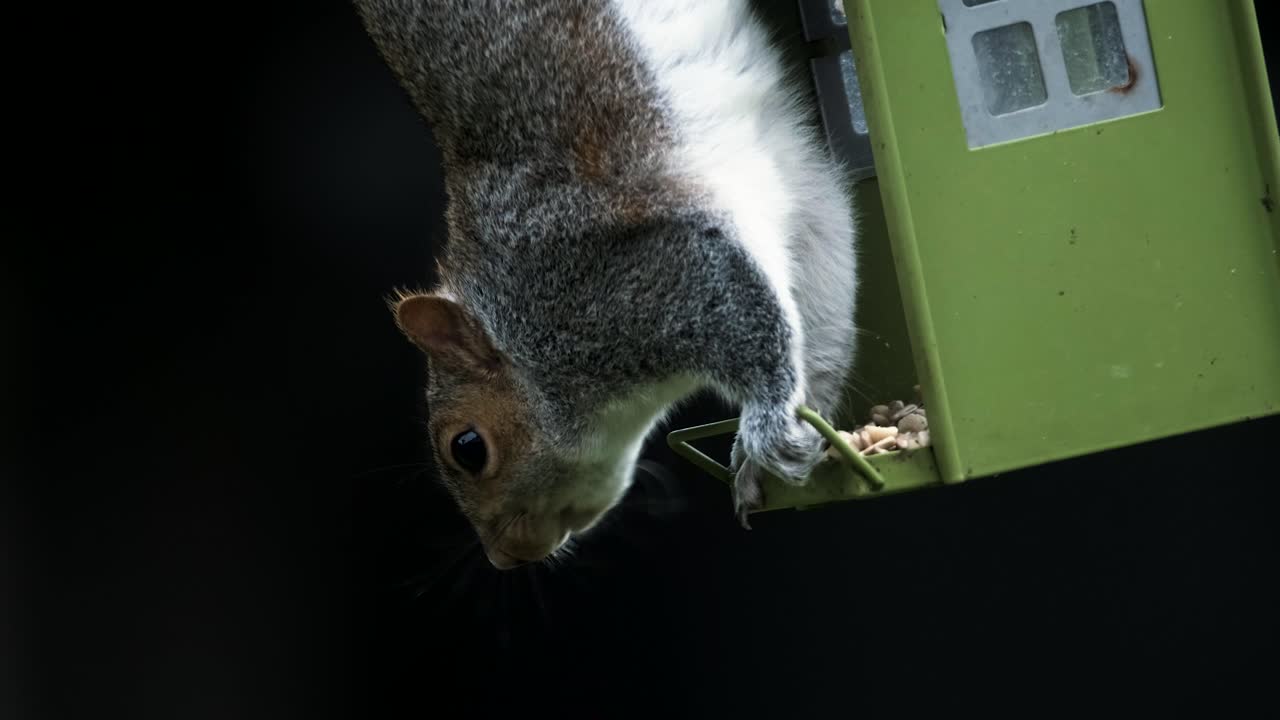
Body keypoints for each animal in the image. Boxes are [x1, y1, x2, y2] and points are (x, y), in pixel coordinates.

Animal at [354, 0, 859, 569]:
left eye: (468, 448)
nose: (505, 557)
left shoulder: (621, 280)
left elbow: (750, 323)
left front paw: (770, 431)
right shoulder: (798, 192)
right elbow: (823, 311)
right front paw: (772, 449)